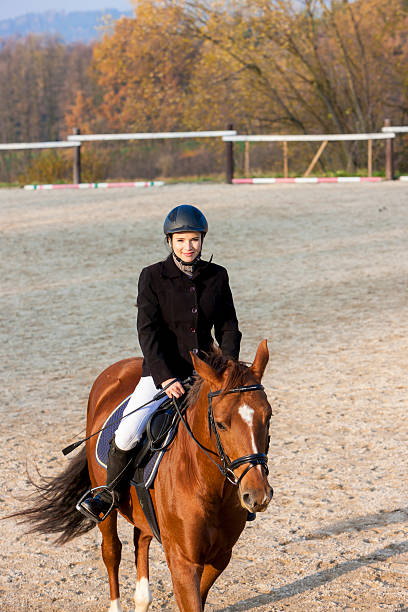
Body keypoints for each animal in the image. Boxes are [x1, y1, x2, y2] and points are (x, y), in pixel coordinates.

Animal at [11, 340, 274, 612]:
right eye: (221, 424)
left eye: (268, 417)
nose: (258, 495)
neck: (208, 485)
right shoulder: (183, 561)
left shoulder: (220, 557)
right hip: (104, 507)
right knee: (112, 551)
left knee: (140, 541)